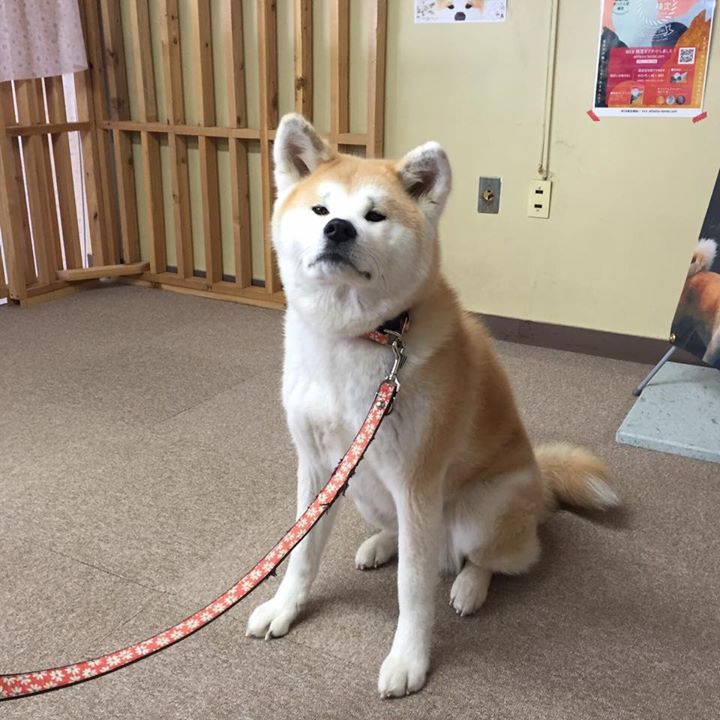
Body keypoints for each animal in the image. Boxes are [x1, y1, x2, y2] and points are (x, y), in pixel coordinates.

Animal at [246, 116, 620, 696]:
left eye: (374, 215)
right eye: (321, 210)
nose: (340, 230)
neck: (356, 338)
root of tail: (540, 485)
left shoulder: (416, 483)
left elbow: (412, 589)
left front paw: (409, 660)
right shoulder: (318, 469)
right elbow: (302, 552)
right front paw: (284, 608)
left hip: (480, 510)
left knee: (496, 559)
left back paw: (469, 585)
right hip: (363, 490)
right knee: (403, 536)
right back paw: (381, 544)